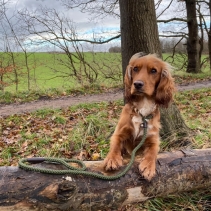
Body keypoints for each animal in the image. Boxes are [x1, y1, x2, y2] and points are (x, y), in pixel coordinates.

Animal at [103, 52, 175, 180]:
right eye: (135, 68)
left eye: (153, 70)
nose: (137, 84)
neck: (142, 108)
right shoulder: (118, 133)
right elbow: (115, 145)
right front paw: (112, 159)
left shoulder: (154, 139)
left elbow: (152, 152)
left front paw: (148, 167)